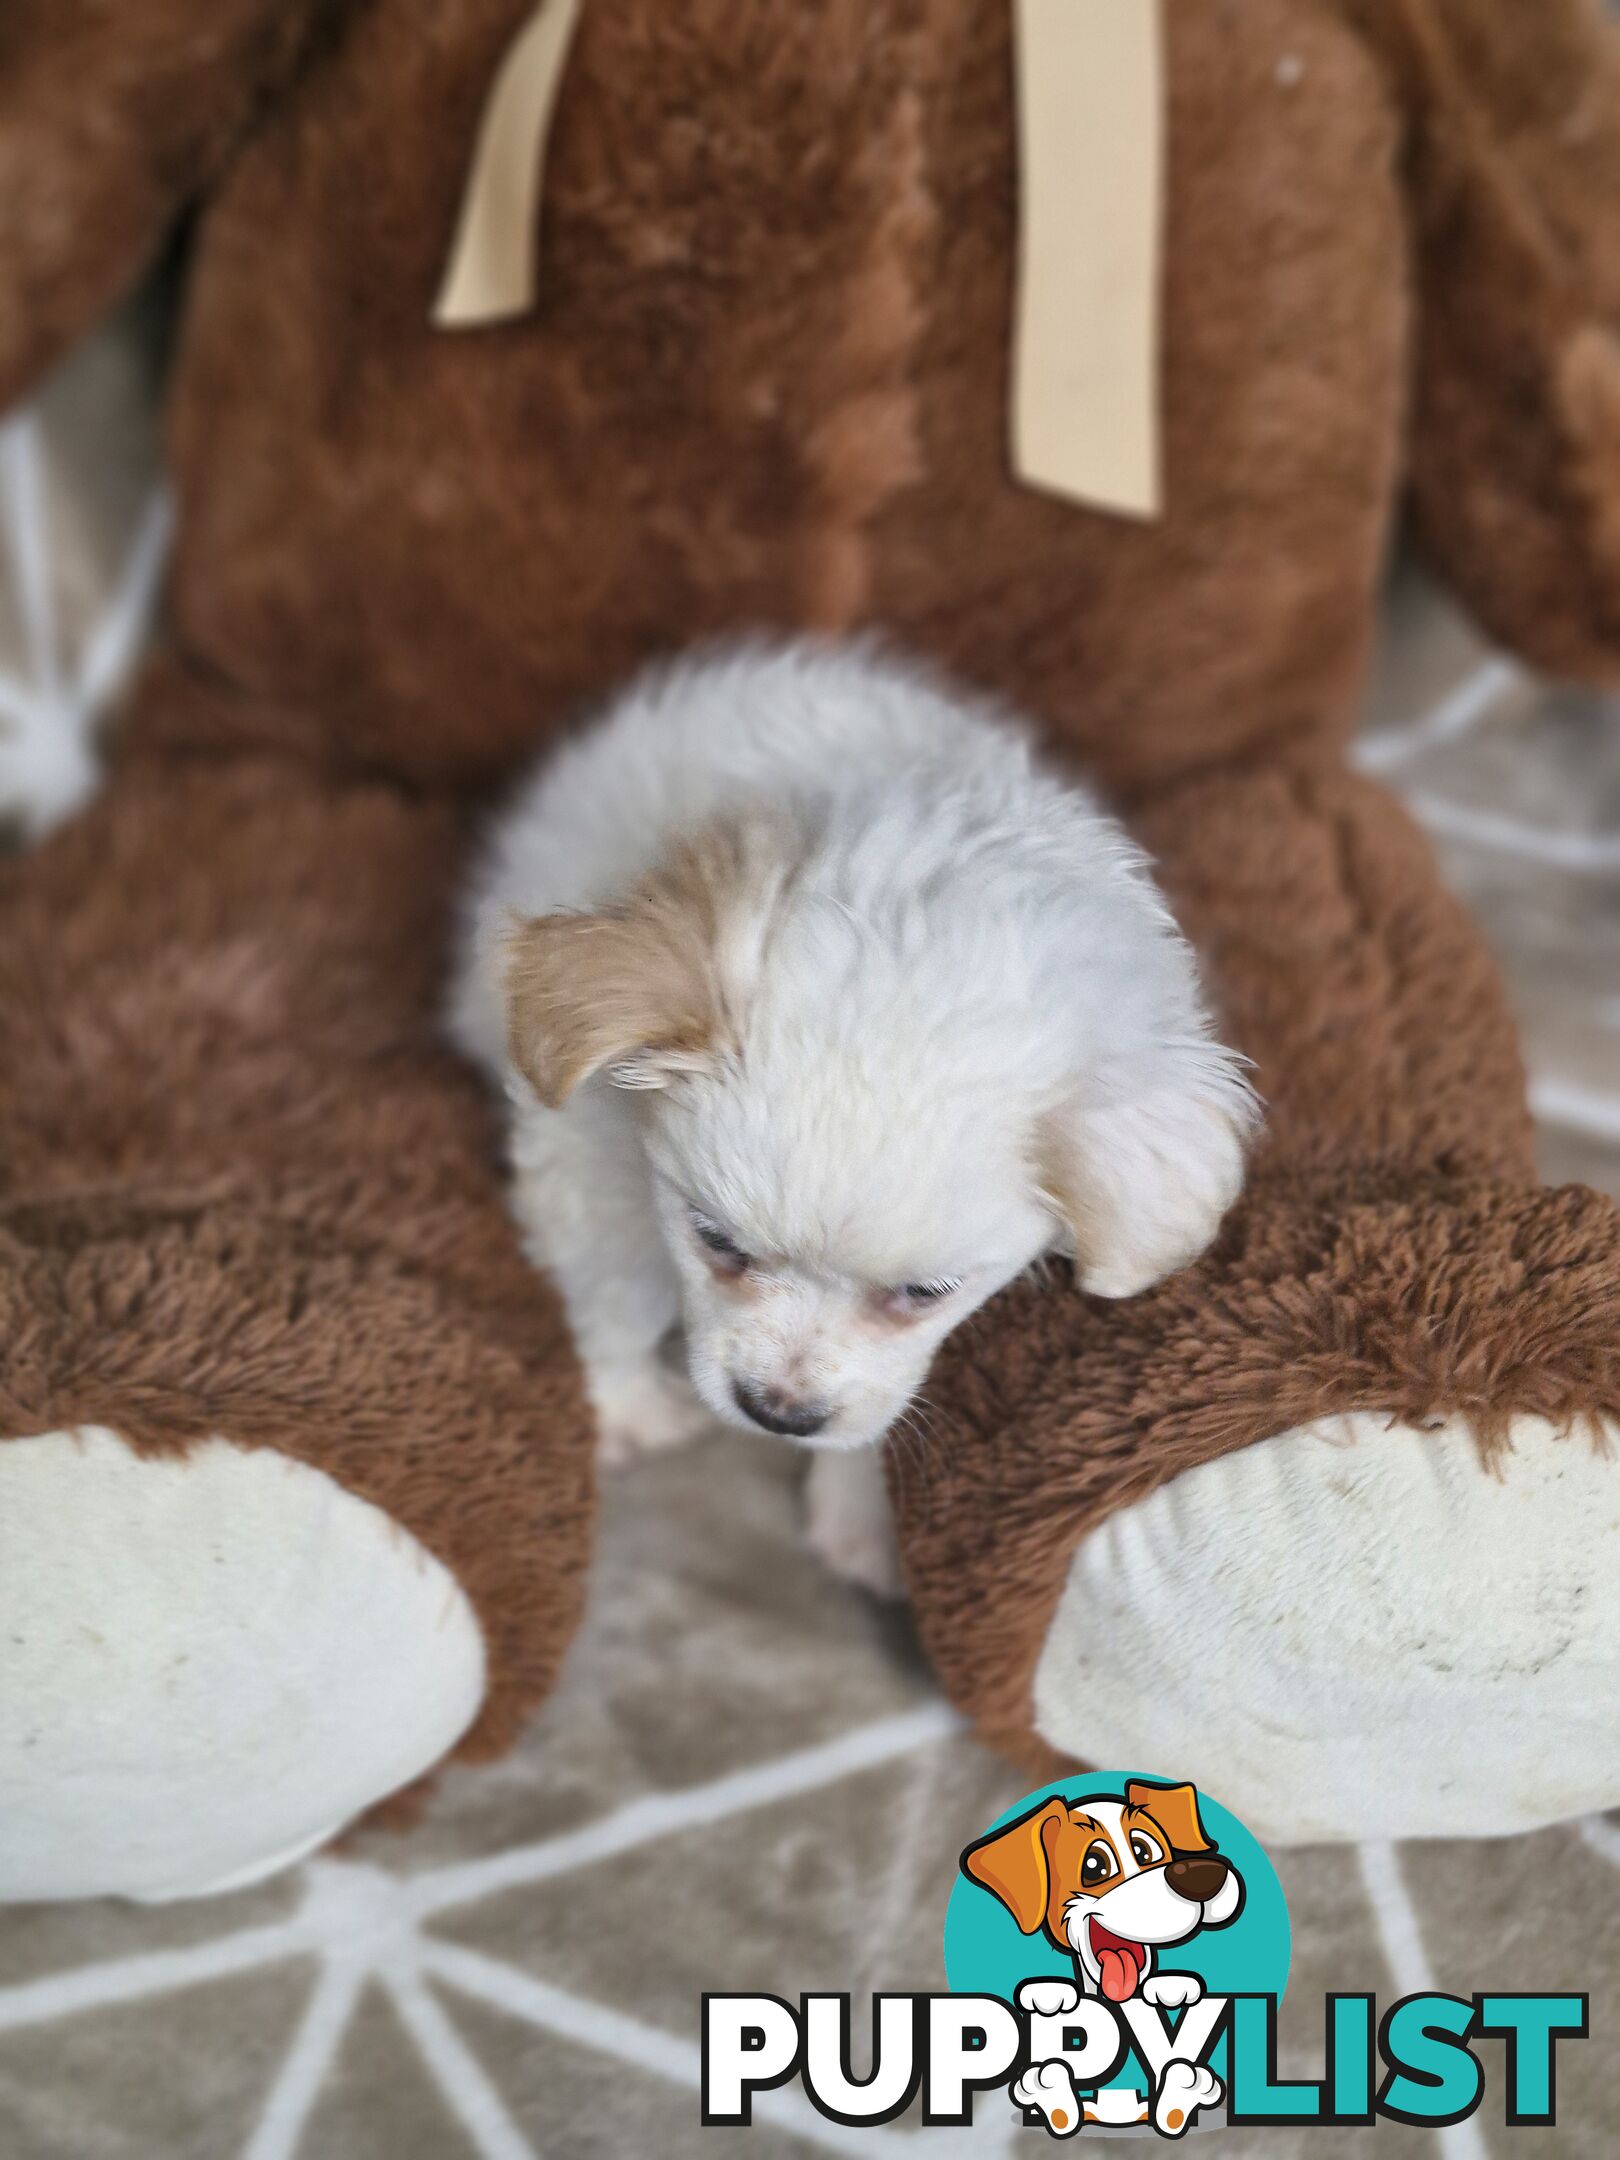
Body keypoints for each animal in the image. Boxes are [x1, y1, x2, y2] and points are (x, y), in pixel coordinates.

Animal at [451, 643, 1261, 1589]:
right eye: (716, 1241)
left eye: (924, 1293)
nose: (779, 1411)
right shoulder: (591, 1145)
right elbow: (613, 1283)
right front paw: (627, 1410)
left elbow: (873, 1406)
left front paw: (858, 1519)